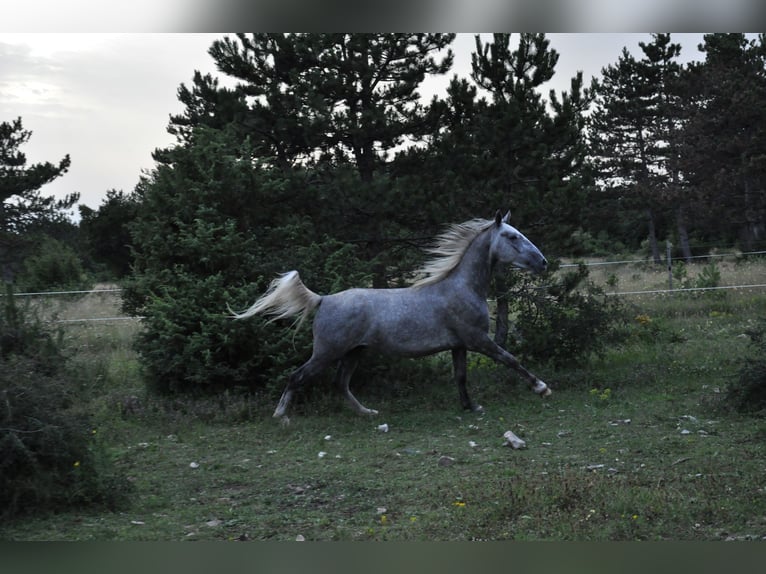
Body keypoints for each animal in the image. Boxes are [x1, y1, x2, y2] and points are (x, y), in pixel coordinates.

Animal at [228, 213, 552, 424]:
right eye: (511, 236)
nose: (543, 262)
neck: (462, 287)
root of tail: (323, 299)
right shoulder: (477, 340)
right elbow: (511, 359)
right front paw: (541, 388)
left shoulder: (459, 345)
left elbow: (460, 376)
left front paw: (470, 406)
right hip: (327, 352)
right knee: (298, 377)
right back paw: (281, 416)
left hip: (354, 352)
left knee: (340, 383)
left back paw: (367, 413)